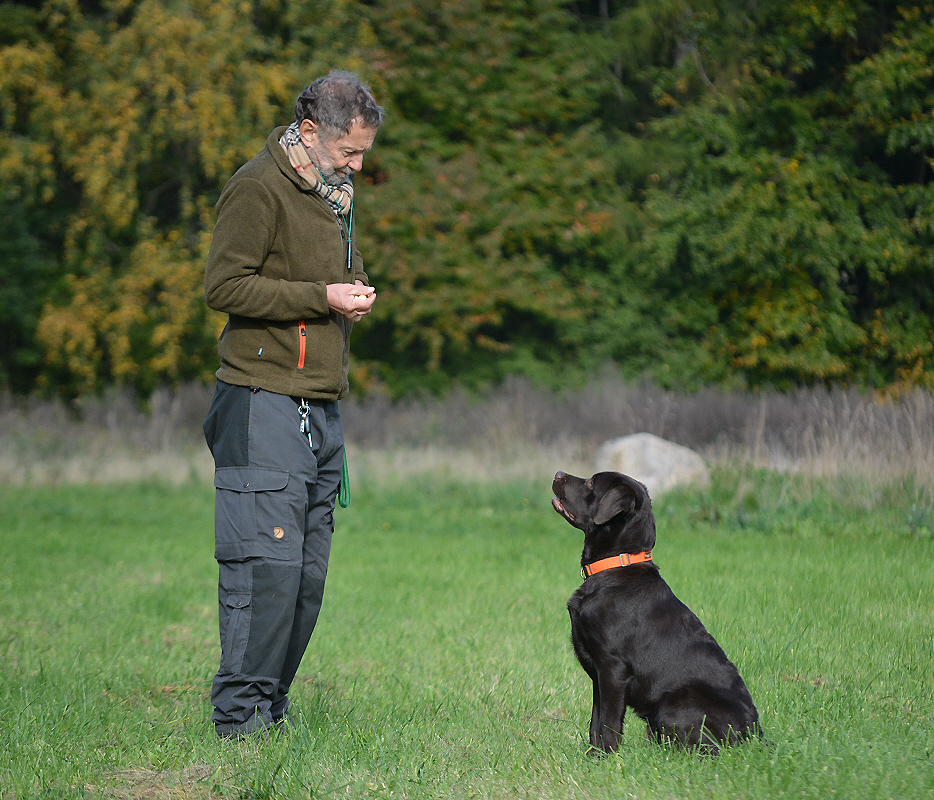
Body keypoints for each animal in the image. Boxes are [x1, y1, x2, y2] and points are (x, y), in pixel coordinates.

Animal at [556, 472, 760, 752]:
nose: (557, 475)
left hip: (675, 705)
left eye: (591, 483)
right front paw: (592, 755)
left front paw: (606, 757)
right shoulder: (598, 674)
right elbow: (595, 723)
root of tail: (756, 736)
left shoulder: (612, 669)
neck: (617, 565)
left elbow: (608, 723)